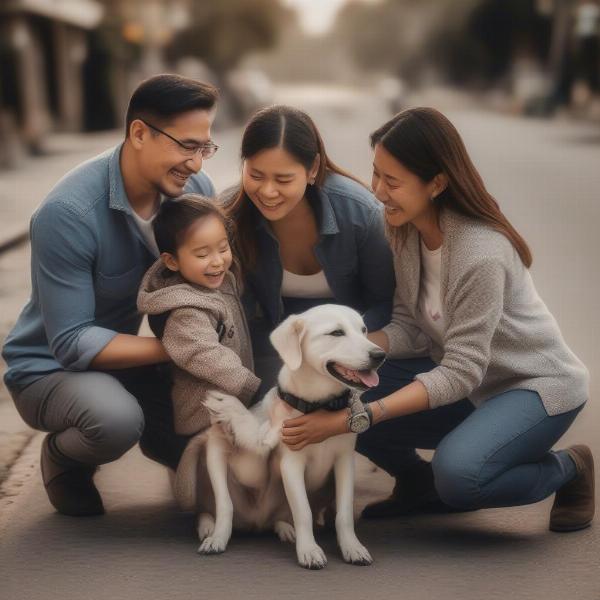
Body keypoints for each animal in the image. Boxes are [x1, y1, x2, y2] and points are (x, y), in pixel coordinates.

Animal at [173, 308, 386, 568]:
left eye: (363, 330)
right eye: (337, 332)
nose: (380, 355)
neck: (319, 407)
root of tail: (255, 522)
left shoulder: (344, 462)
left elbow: (343, 513)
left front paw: (352, 548)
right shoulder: (291, 464)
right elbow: (303, 511)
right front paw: (309, 550)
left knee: (280, 516)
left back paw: (285, 528)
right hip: (218, 452)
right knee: (220, 506)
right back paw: (212, 533)